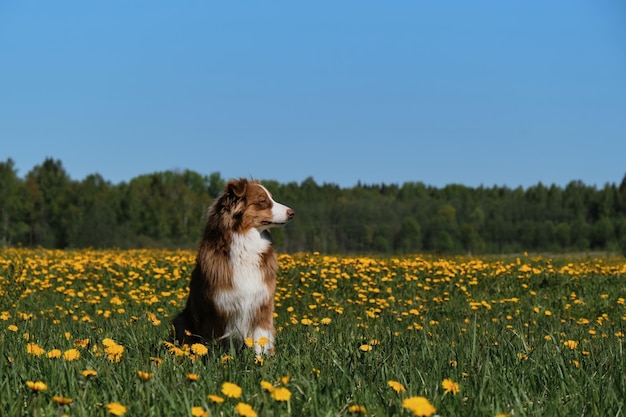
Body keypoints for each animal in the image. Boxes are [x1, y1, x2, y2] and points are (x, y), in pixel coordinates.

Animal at [172, 177, 294, 356]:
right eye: (262, 201)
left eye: (271, 198)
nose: (292, 212)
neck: (246, 244)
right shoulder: (216, 308)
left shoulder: (262, 305)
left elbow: (261, 340)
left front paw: (260, 361)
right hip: (180, 320)